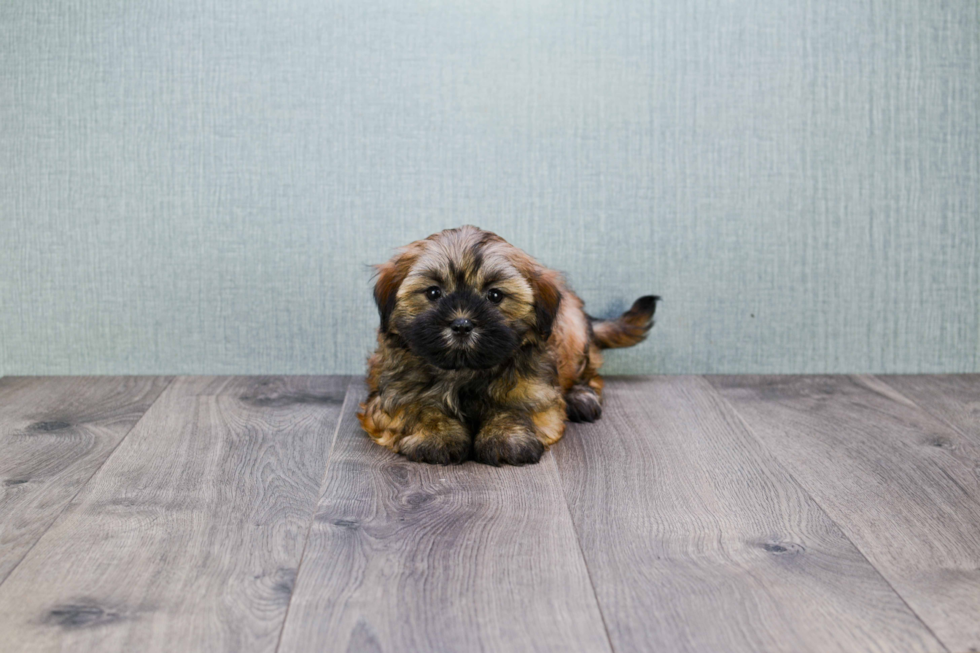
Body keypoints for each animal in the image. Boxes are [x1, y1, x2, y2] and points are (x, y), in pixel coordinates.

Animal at [354, 224, 660, 464]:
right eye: (433, 292)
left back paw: (581, 397)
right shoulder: (390, 396)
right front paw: (436, 435)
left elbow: (516, 406)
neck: (464, 371)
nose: (462, 324)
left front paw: (505, 438)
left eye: (494, 295)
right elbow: (418, 407)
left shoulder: (534, 388)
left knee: (591, 374)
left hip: (573, 329)